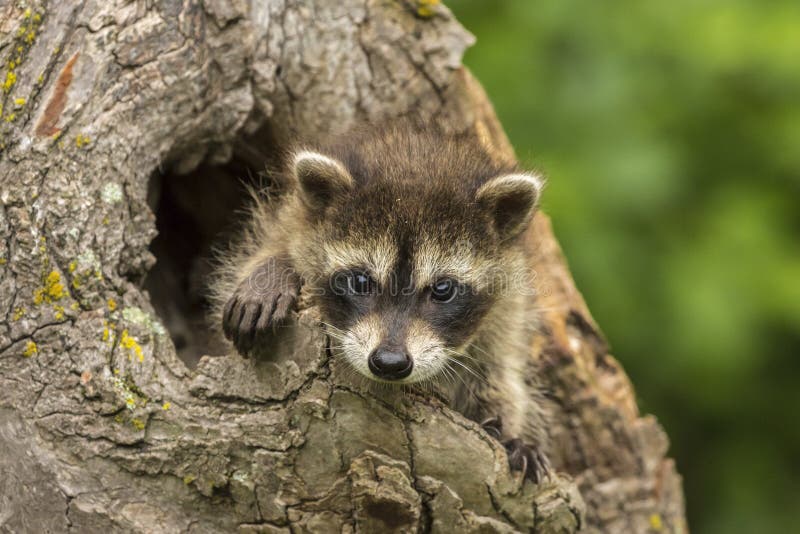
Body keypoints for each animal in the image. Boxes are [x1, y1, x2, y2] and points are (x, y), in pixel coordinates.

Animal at [212, 123, 552, 484]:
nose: (389, 362)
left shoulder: (508, 312)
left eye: (442, 289)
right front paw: (274, 270)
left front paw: (512, 433)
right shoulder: (292, 222)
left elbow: (500, 376)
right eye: (361, 282)